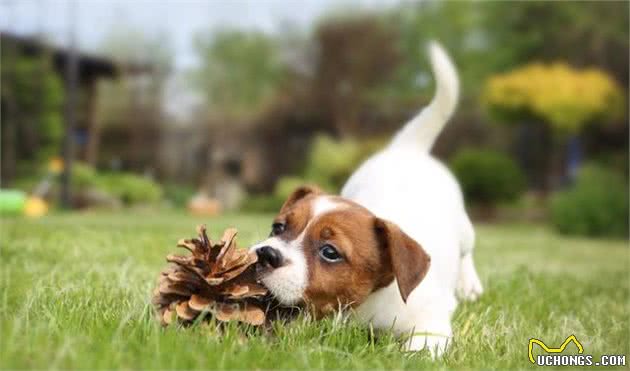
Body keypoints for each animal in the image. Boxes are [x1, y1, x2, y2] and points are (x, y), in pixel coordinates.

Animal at [251, 40, 484, 358]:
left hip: (464, 229)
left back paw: (469, 285)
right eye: (278, 227)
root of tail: (407, 149)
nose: (265, 254)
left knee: (467, 253)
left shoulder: (430, 323)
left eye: (330, 252)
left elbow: (420, 348)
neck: (364, 305)